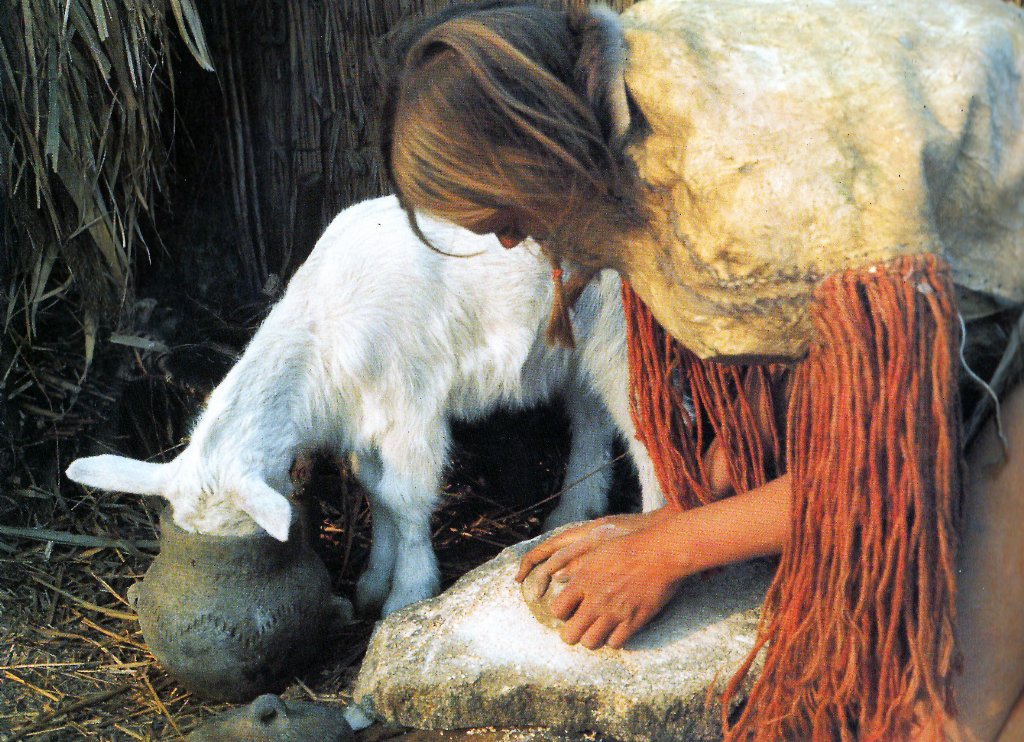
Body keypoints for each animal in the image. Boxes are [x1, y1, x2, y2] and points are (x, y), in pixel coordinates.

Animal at [66, 195, 663, 617]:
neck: (322, 326)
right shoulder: (365, 421)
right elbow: (376, 493)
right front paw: (375, 581)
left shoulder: (412, 405)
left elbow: (406, 497)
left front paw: (409, 593)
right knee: (590, 418)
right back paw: (573, 512)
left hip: (621, 334)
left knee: (641, 425)